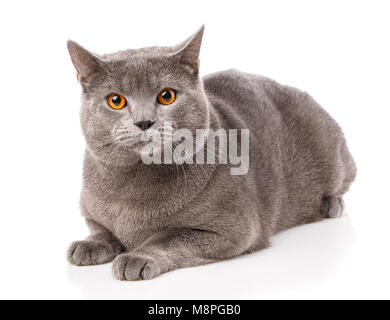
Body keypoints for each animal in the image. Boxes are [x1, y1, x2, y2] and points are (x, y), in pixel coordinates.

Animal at [66, 25, 356, 280]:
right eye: (116, 100)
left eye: (167, 96)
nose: (144, 121)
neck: (131, 185)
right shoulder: (91, 211)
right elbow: (101, 230)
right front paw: (88, 245)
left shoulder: (233, 229)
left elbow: (169, 237)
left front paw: (137, 256)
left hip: (332, 153)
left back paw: (331, 205)